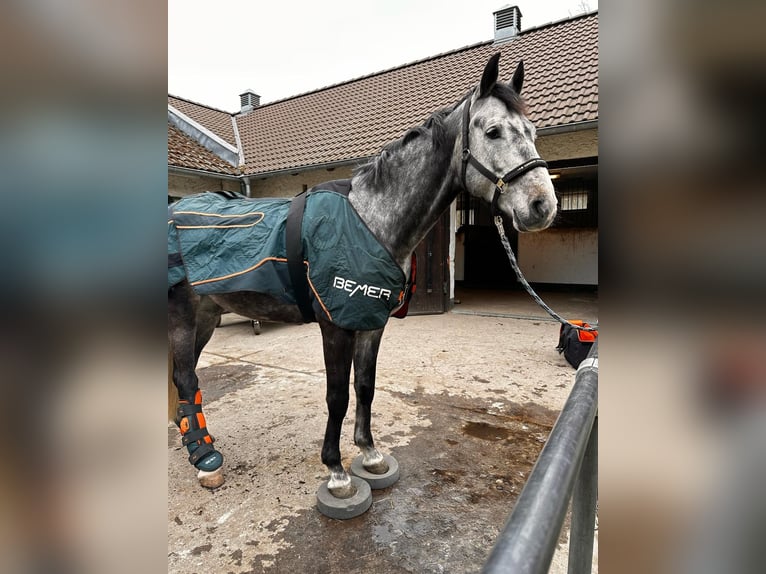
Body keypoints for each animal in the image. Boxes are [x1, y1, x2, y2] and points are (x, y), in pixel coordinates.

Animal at [168, 53, 557, 502]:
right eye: (493, 131)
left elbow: (365, 386)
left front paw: (369, 453)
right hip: (183, 316)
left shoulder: (371, 323)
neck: (370, 221)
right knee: (184, 376)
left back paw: (194, 440)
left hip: (208, 315)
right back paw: (204, 459)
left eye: (532, 131)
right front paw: (336, 470)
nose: (543, 205)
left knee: (185, 377)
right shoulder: (335, 325)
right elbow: (337, 395)